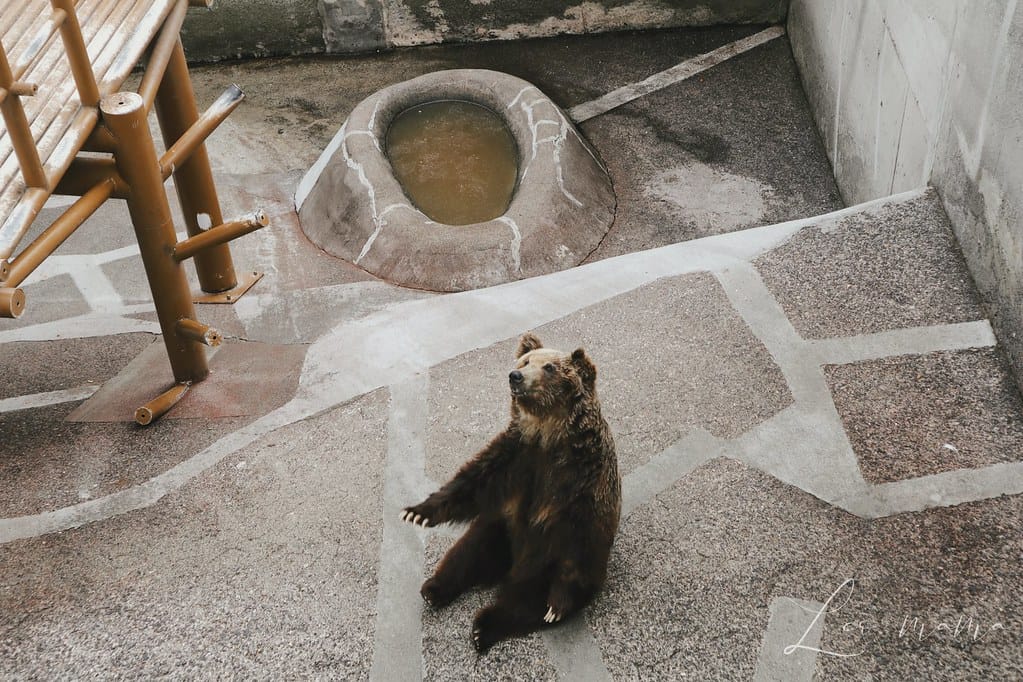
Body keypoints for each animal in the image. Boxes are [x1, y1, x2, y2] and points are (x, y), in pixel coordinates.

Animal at [401, 332, 620, 652]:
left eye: (549, 367)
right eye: (525, 361)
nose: (515, 376)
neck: (550, 434)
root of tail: (508, 565)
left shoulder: (581, 479)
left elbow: (578, 534)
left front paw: (558, 604)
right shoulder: (515, 457)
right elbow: (471, 481)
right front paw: (416, 513)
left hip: (540, 560)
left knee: (524, 600)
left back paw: (485, 627)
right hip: (499, 528)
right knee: (467, 552)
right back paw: (434, 588)